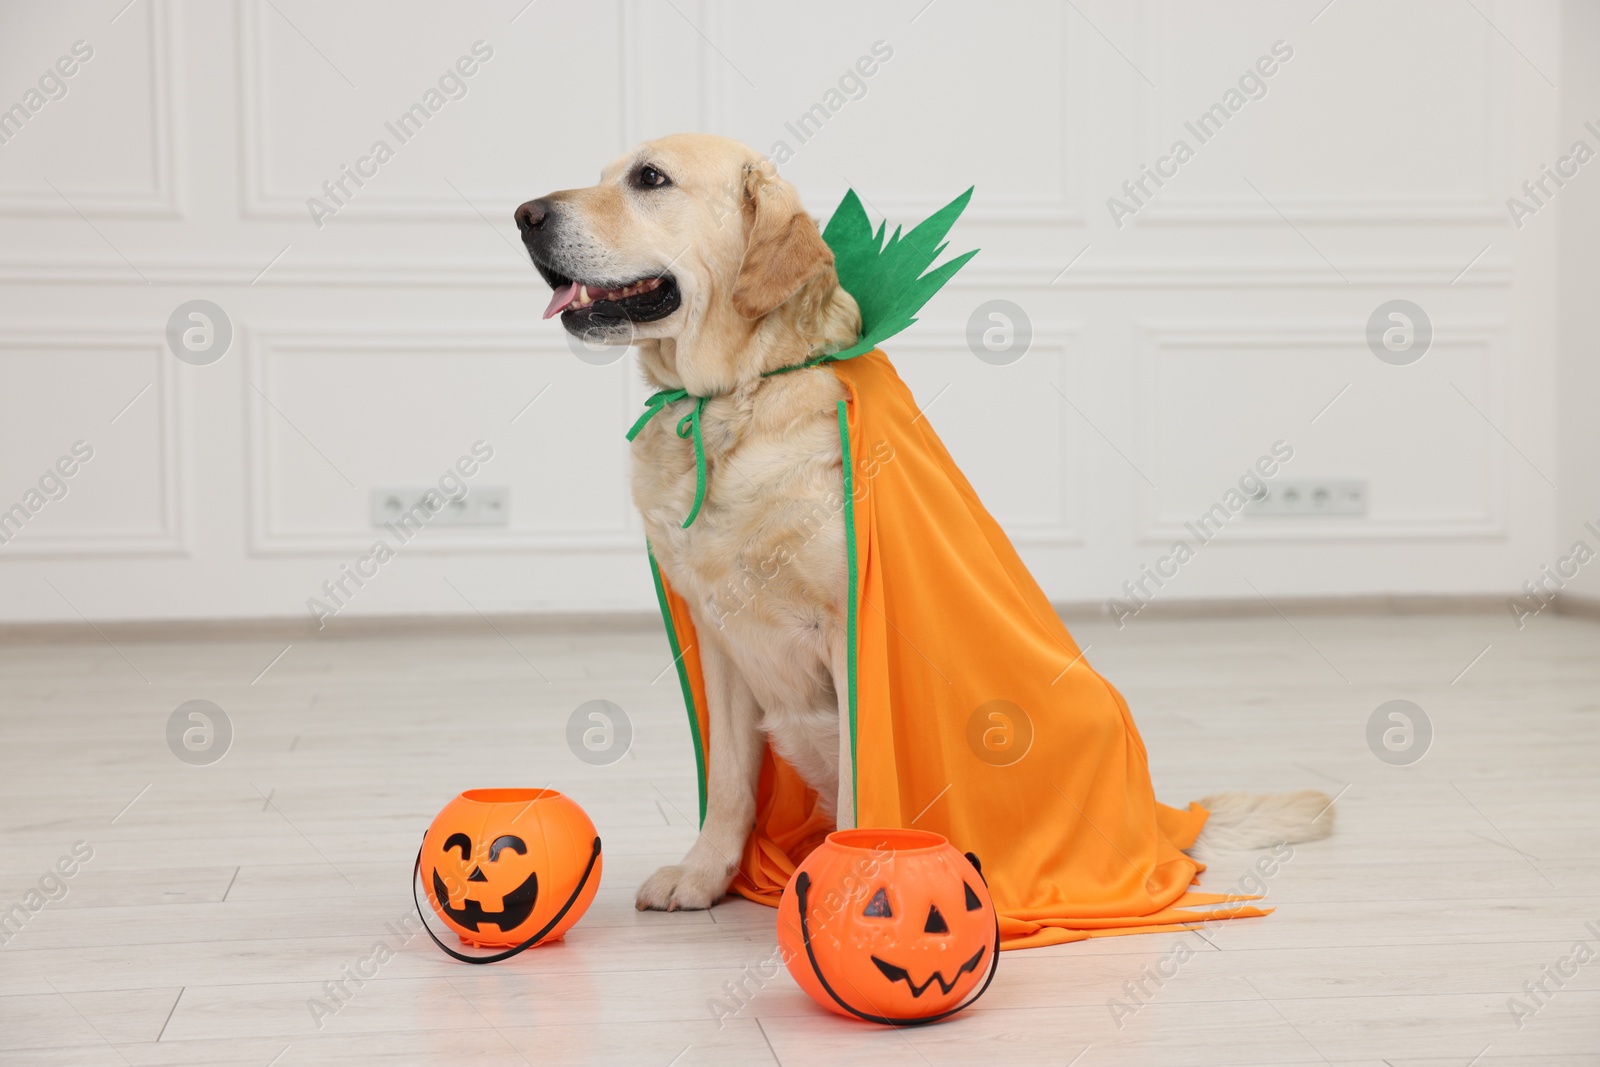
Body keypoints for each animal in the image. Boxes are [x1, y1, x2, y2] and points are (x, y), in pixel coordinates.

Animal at [518, 133, 1331, 915]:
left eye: (650, 179)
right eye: (607, 173)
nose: (524, 214)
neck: (736, 398)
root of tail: (1164, 828)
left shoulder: (849, 633)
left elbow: (861, 786)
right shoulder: (717, 638)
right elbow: (728, 782)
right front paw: (704, 874)